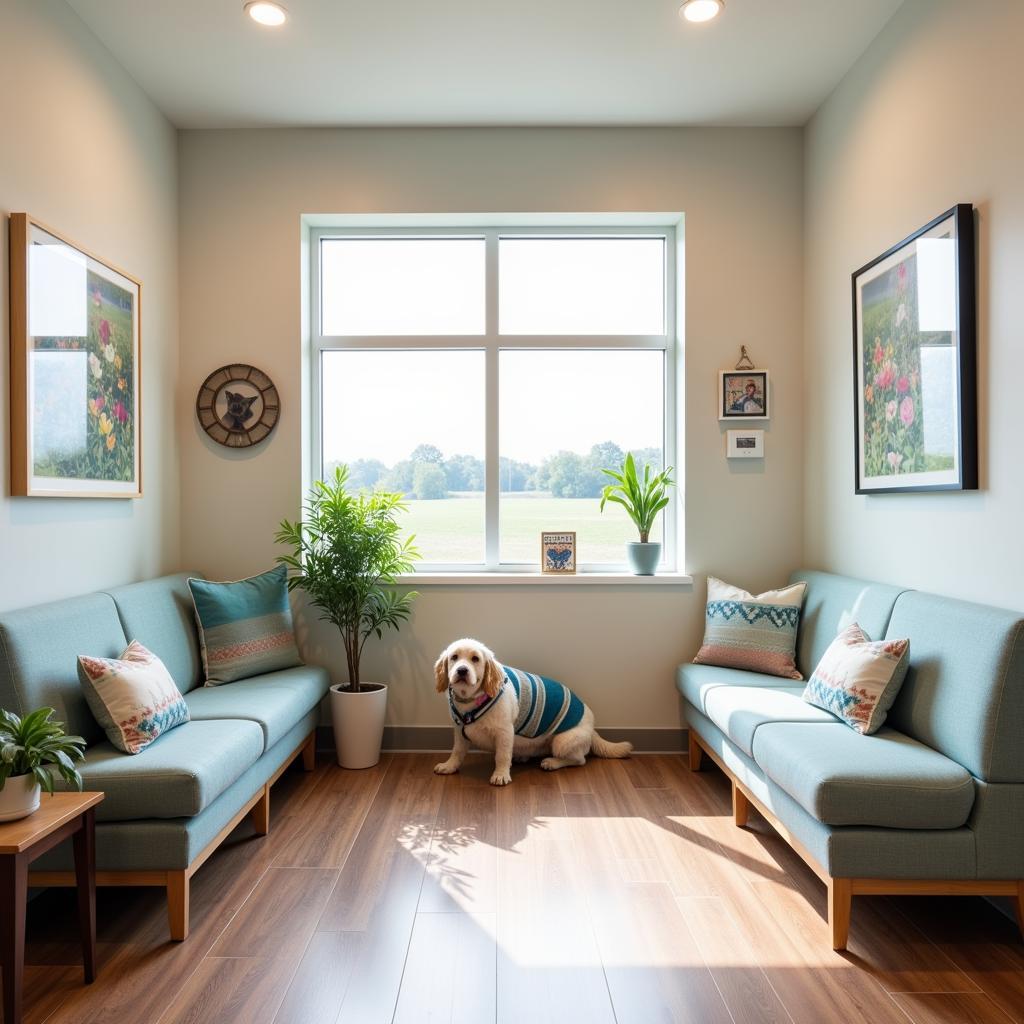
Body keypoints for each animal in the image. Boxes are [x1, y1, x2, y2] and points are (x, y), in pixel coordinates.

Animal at [432, 634, 630, 786]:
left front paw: (501, 775)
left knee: (579, 760)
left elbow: (502, 756)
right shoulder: (459, 732)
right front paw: (449, 766)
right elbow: (457, 752)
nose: (462, 670)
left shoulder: (504, 733)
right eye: (454, 657)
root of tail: (592, 729)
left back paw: (552, 762)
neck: (470, 701)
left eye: (475, 659)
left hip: (562, 741)